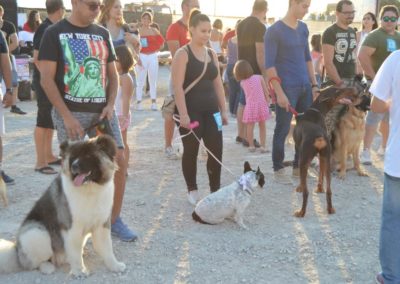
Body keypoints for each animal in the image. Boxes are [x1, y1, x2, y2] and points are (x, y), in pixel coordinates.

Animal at [0, 135, 125, 278]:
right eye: (73, 157)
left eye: (88, 155)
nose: (74, 165)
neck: (89, 190)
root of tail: (16, 251)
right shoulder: (72, 227)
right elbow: (75, 251)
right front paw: (79, 271)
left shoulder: (102, 224)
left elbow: (107, 247)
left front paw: (114, 265)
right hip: (36, 233)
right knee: (35, 263)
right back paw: (47, 267)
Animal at [292, 86, 358, 217]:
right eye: (337, 90)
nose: (354, 89)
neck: (317, 110)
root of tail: (319, 137)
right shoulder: (322, 157)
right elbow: (321, 174)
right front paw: (319, 189)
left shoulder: (299, 151)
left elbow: (302, 180)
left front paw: (300, 187)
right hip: (327, 160)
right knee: (329, 190)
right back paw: (330, 209)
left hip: (305, 160)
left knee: (306, 193)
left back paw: (301, 212)